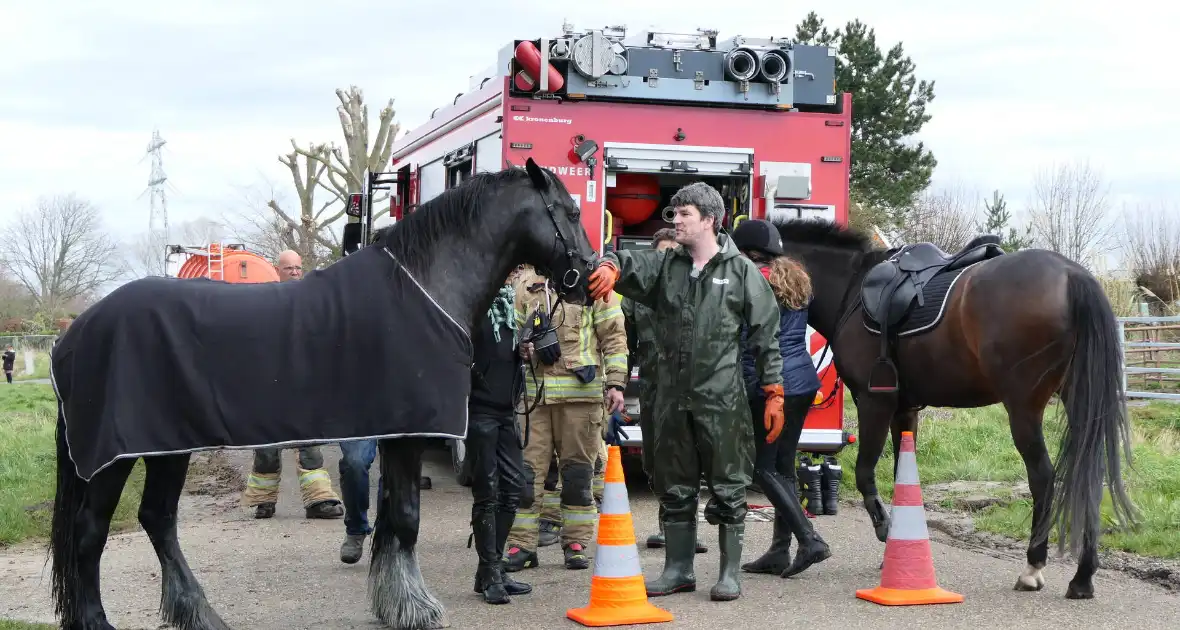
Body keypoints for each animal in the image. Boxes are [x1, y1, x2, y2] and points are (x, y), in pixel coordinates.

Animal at [46, 159, 599, 630]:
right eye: (572, 213)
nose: (591, 277)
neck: (424, 289)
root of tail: (77, 333)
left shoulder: (396, 434)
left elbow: (392, 518)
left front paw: (393, 602)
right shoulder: (410, 434)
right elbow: (406, 519)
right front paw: (416, 607)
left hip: (167, 448)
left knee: (157, 520)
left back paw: (200, 614)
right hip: (116, 456)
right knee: (91, 531)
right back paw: (100, 621)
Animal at [769, 218, 1137, 601]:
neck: (852, 288)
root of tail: (1070, 274)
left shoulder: (874, 402)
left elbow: (865, 472)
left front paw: (887, 534)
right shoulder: (905, 410)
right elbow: (902, 474)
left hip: (1024, 407)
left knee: (1043, 477)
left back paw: (1033, 567)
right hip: (1078, 400)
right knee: (1091, 476)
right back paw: (1082, 576)